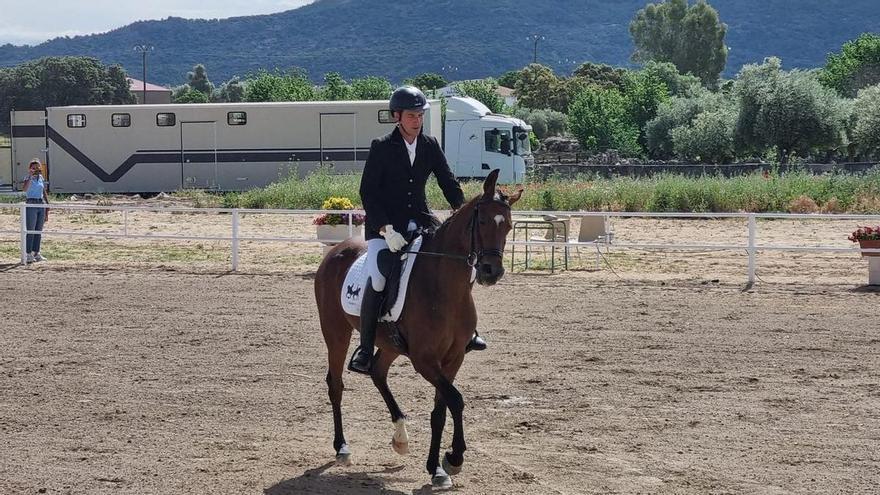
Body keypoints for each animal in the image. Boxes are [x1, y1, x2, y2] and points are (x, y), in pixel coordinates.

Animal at [316, 170, 524, 492]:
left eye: (509, 226)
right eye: (483, 222)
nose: (492, 272)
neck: (446, 288)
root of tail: (335, 251)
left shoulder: (453, 359)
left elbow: (441, 410)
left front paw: (438, 467)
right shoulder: (424, 360)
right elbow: (456, 400)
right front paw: (454, 458)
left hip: (389, 344)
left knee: (378, 371)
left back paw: (400, 437)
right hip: (336, 332)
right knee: (336, 384)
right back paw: (342, 448)